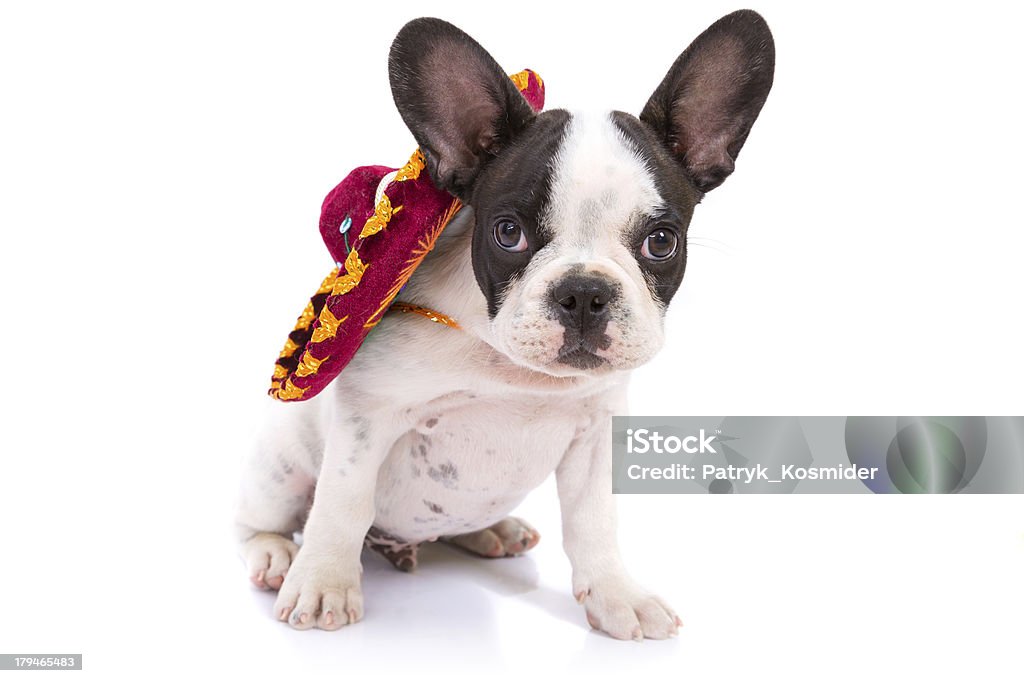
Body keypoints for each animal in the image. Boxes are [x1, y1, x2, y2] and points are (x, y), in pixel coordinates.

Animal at [235, 9, 770, 643]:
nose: (584, 292)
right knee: (260, 520)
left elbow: (594, 522)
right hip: (280, 465)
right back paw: (275, 555)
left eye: (661, 242)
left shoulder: (595, 433)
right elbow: (342, 505)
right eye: (508, 233)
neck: (512, 367)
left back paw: (493, 530)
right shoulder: (368, 418)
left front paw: (617, 595)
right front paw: (323, 584)